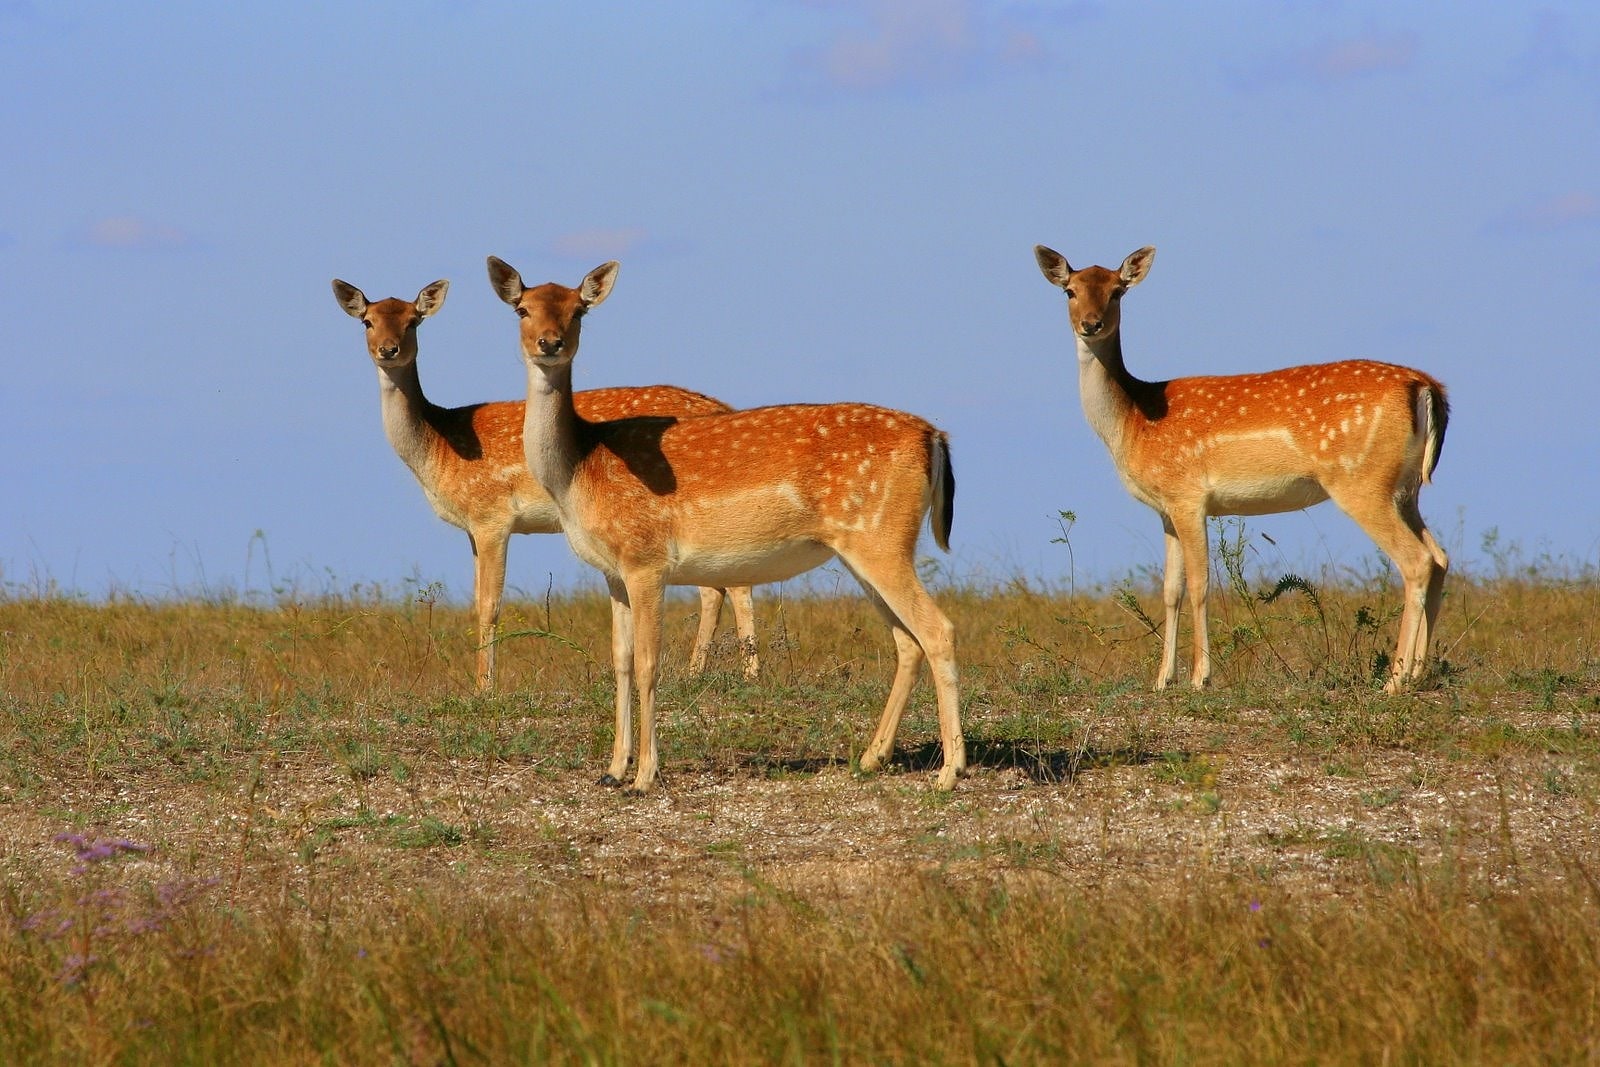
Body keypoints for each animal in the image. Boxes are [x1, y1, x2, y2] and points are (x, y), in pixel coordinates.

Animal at [329, 275, 755, 694]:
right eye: (367, 321)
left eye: (413, 321)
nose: (388, 349)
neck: (438, 449)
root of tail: (721, 406)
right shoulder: (471, 526)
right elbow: (475, 600)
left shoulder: (491, 514)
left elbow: (490, 603)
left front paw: (484, 689)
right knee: (716, 585)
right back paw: (699, 673)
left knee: (728, 585)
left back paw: (742, 674)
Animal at [486, 255, 960, 793]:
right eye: (522, 309)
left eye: (578, 311)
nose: (550, 343)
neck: (577, 472)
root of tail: (935, 437)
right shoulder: (612, 571)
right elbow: (621, 662)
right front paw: (612, 769)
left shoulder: (646, 559)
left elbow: (649, 664)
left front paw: (645, 775)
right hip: (865, 548)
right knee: (908, 641)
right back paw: (871, 758)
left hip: (883, 539)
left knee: (938, 630)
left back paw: (949, 772)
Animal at [1036, 244, 1452, 694]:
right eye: (1070, 291)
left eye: (1117, 291)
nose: (1090, 324)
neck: (1132, 421)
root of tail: (1426, 386)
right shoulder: (1165, 508)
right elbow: (1170, 589)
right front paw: (1162, 680)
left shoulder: (1188, 495)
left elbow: (1200, 584)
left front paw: (1200, 677)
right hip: (1406, 488)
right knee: (1440, 557)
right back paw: (1418, 672)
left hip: (1361, 480)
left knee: (1416, 561)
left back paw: (1394, 681)